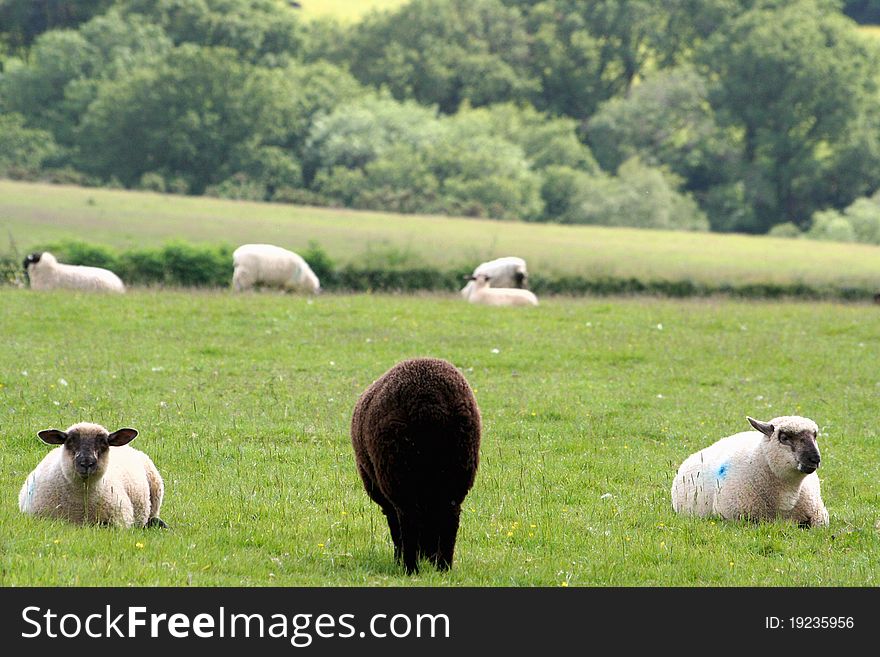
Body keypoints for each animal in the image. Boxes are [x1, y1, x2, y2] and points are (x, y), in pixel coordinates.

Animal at [348, 356, 482, 572]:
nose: (428, 556)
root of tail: (429, 402)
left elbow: (396, 529)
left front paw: (398, 559)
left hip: (397, 471)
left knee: (409, 519)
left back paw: (409, 568)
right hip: (458, 471)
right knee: (450, 519)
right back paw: (444, 567)